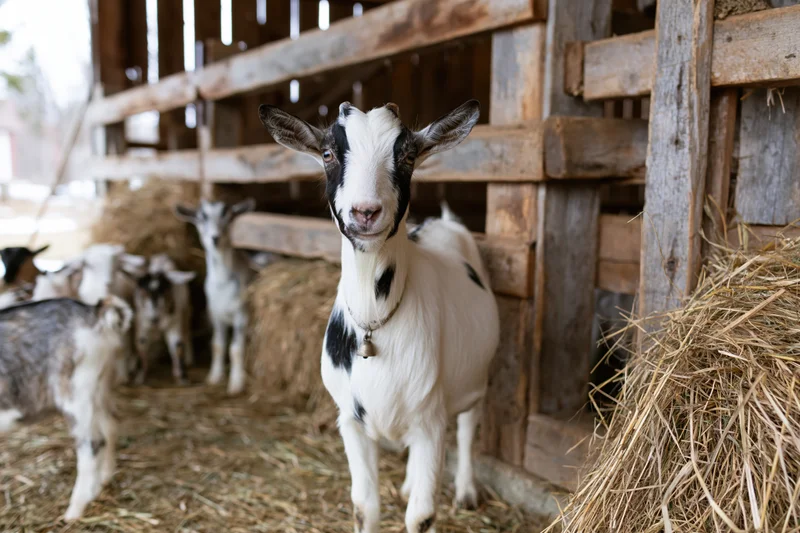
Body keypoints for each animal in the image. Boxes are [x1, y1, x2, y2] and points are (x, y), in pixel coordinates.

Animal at [0, 296, 133, 520]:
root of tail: (93, 311)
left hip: (75, 391)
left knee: (93, 443)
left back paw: (74, 510)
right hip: (99, 386)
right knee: (110, 426)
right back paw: (103, 480)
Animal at [121, 254, 196, 385]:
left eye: (165, 292)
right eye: (143, 292)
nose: (154, 319)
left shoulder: (175, 321)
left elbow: (177, 346)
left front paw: (182, 377)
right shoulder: (142, 323)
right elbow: (141, 343)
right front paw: (140, 377)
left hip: (186, 310)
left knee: (187, 333)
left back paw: (188, 359)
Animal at [174, 198, 255, 395]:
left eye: (228, 215)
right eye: (201, 217)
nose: (215, 238)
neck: (222, 284)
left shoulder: (242, 314)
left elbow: (235, 349)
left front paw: (236, 384)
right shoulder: (216, 315)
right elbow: (217, 345)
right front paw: (213, 377)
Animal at [259, 100, 500, 533]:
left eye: (408, 156)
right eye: (327, 153)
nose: (366, 212)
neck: (377, 319)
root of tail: (442, 221)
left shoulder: (430, 420)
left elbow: (421, 516)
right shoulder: (351, 421)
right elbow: (363, 506)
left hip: (477, 376)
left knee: (469, 426)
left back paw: (466, 491)